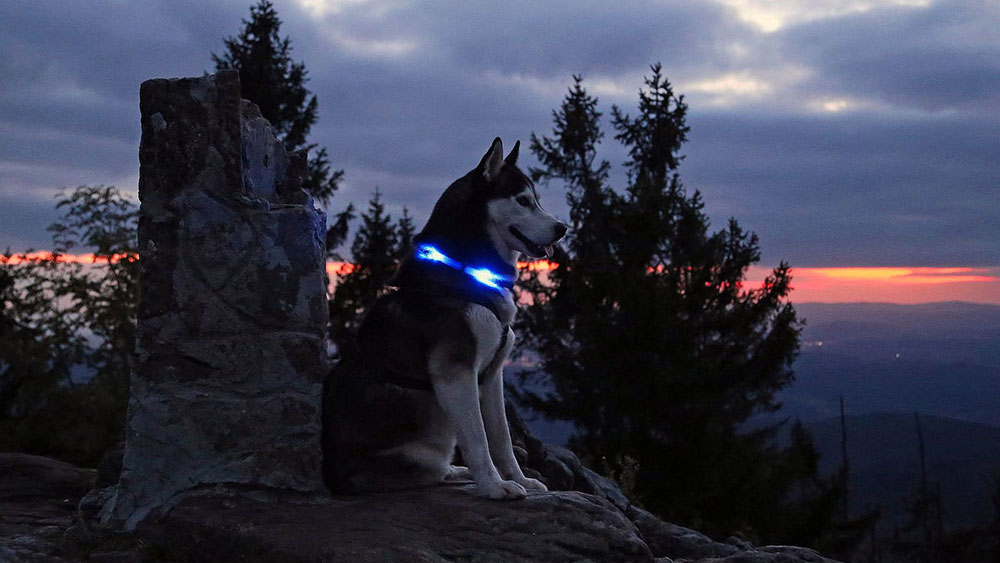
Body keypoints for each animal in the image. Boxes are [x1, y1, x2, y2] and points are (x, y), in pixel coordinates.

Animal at [324, 139, 568, 500]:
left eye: (535, 199)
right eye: (523, 200)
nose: (562, 228)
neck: (465, 272)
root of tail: (332, 478)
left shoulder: (492, 376)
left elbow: (501, 439)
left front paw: (519, 479)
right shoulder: (455, 374)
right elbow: (478, 440)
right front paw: (494, 486)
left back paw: (458, 471)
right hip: (421, 455)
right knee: (433, 469)